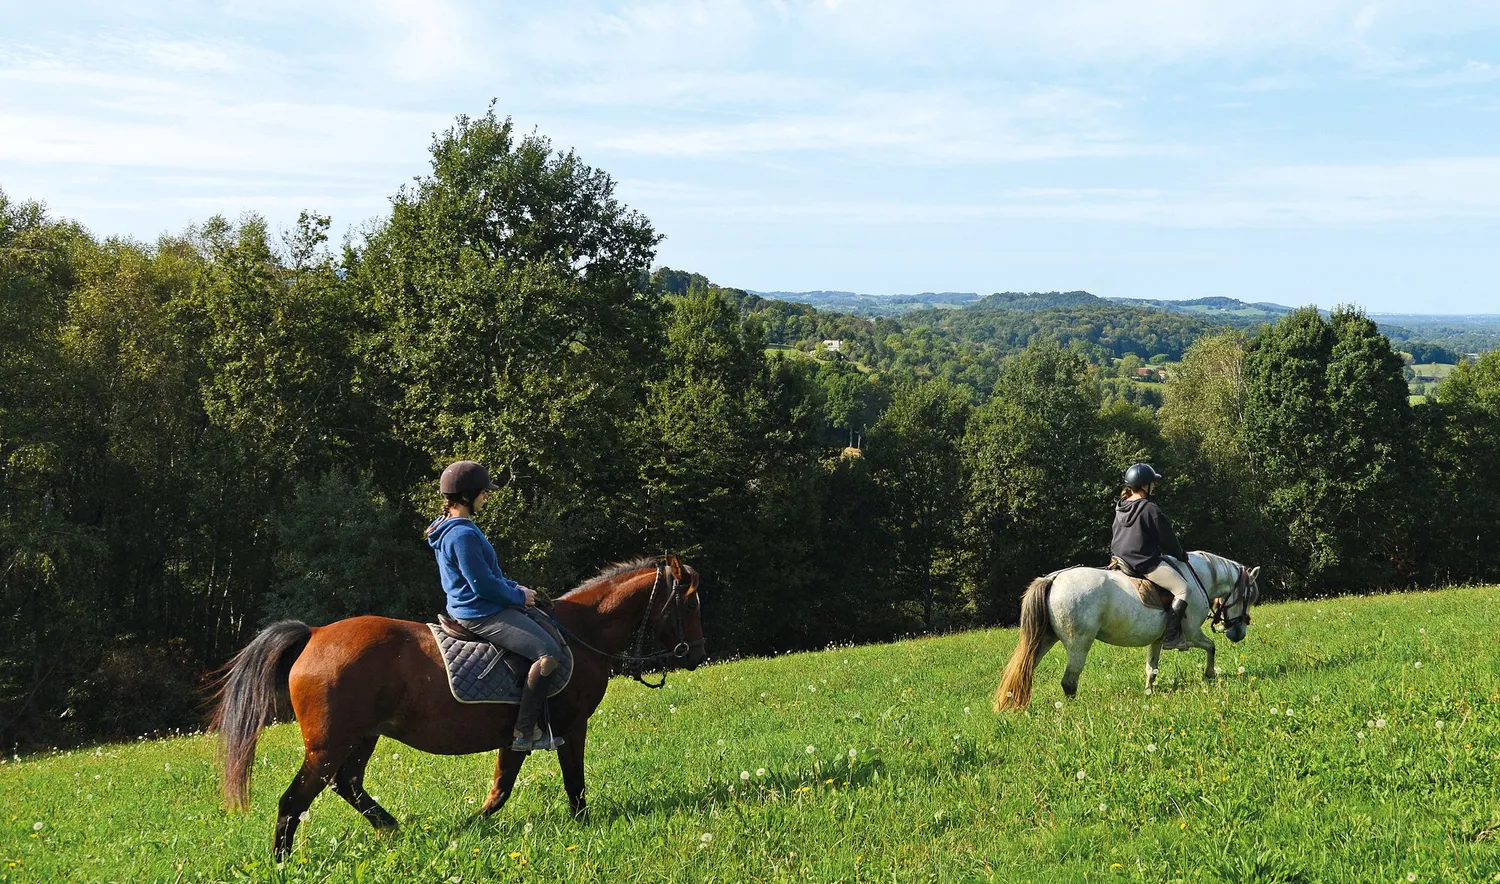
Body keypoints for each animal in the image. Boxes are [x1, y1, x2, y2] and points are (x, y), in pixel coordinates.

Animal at [211, 555, 702, 858]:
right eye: (690, 603)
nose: (695, 653)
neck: (582, 633)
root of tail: (313, 634)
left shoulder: (518, 734)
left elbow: (501, 787)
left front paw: (469, 827)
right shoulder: (570, 724)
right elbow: (574, 783)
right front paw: (583, 826)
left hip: (361, 738)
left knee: (346, 784)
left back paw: (393, 829)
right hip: (329, 744)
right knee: (293, 801)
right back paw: (284, 862)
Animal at [1002, 552, 1260, 711]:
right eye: (1249, 597)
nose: (1238, 634)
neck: (1198, 577)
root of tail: (1054, 578)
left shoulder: (1158, 640)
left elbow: (1151, 669)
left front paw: (1148, 693)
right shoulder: (1192, 634)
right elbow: (1211, 647)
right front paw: (1209, 674)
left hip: (1045, 640)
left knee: (1026, 668)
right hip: (1078, 644)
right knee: (1069, 681)